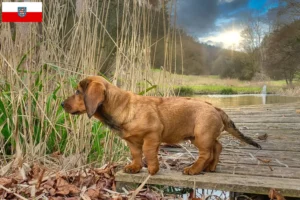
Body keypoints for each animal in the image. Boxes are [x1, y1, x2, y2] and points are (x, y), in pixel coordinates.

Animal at [61, 76, 260, 174]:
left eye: (78, 92)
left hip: (201, 137)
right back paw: (210, 168)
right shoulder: (132, 142)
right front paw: (134, 168)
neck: (123, 106)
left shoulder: (152, 136)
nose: (62, 104)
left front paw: (153, 169)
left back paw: (194, 169)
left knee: (206, 153)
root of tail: (216, 107)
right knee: (217, 147)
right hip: (200, 137)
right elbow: (136, 154)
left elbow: (148, 153)